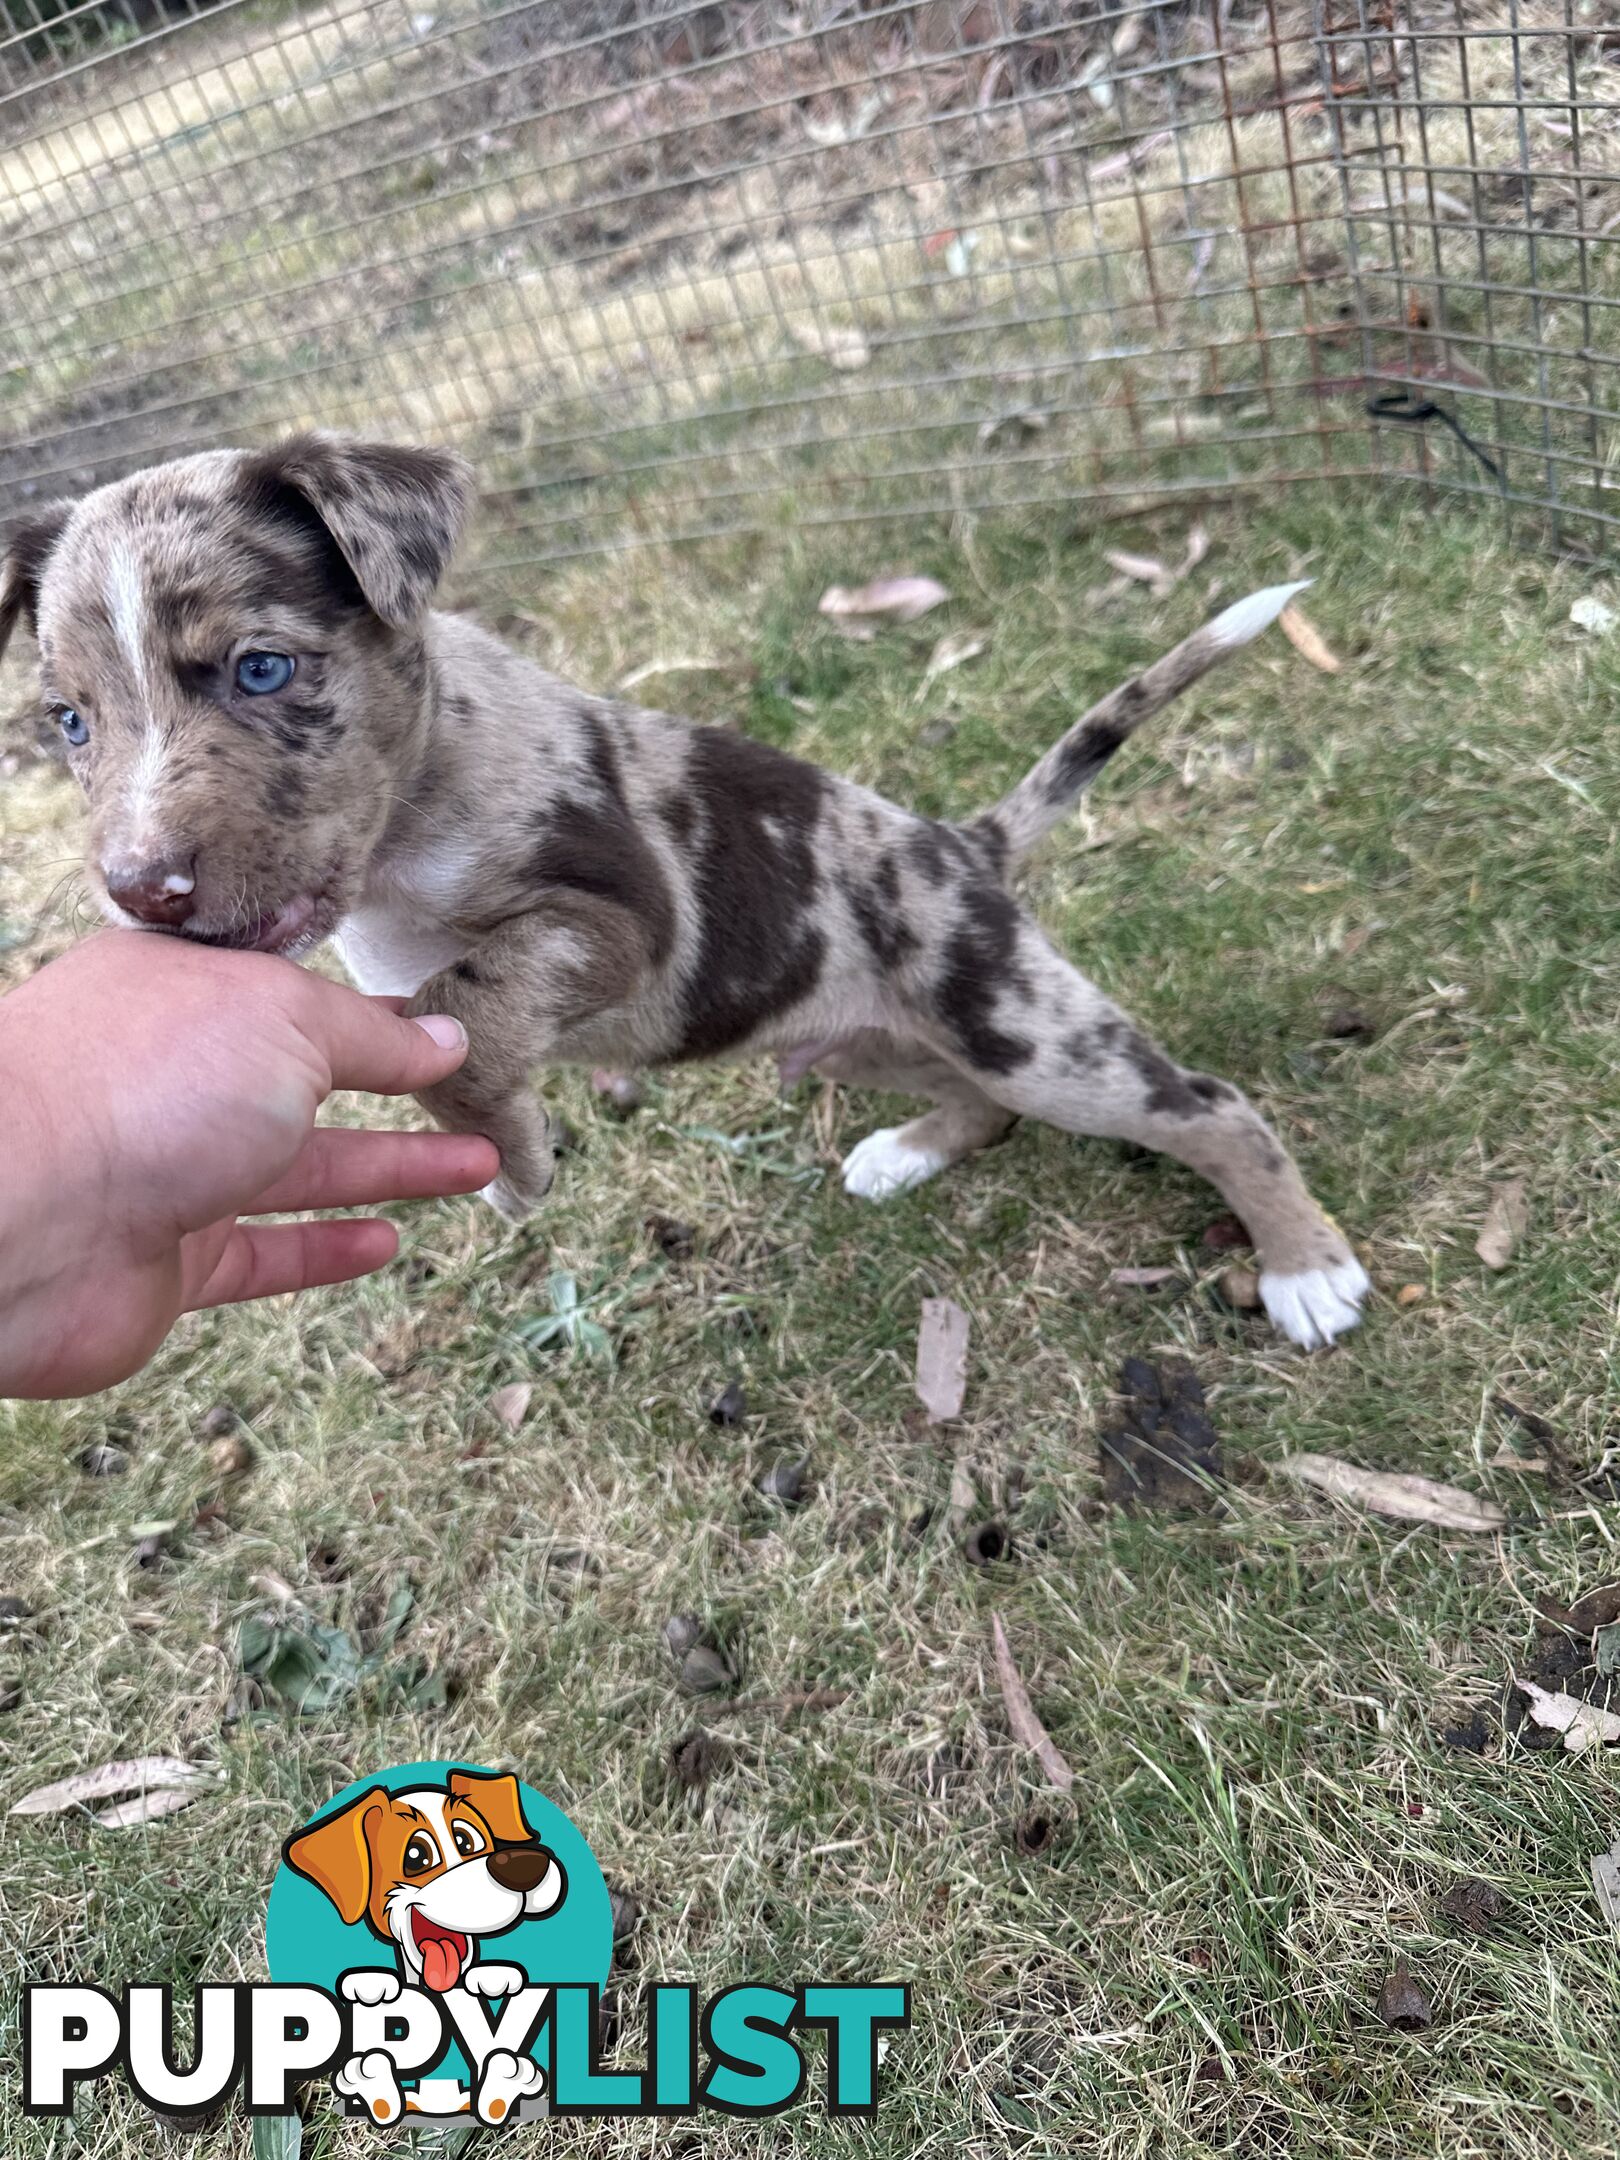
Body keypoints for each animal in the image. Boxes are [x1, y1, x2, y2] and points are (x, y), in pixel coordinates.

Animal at [0, 434, 1373, 1347]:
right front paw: (507, 1157)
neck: (402, 833)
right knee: (979, 1106)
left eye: (262, 670)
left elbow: (467, 1004)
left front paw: (509, 1157)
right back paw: (910, 1153)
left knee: (1208, 1108)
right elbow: (457, 1029)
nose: (143, 892)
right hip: (846, 1036)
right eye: (68, 721)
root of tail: (963, 844)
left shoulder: (621, 918)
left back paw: (1305, 1267)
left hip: (1019, 1022)